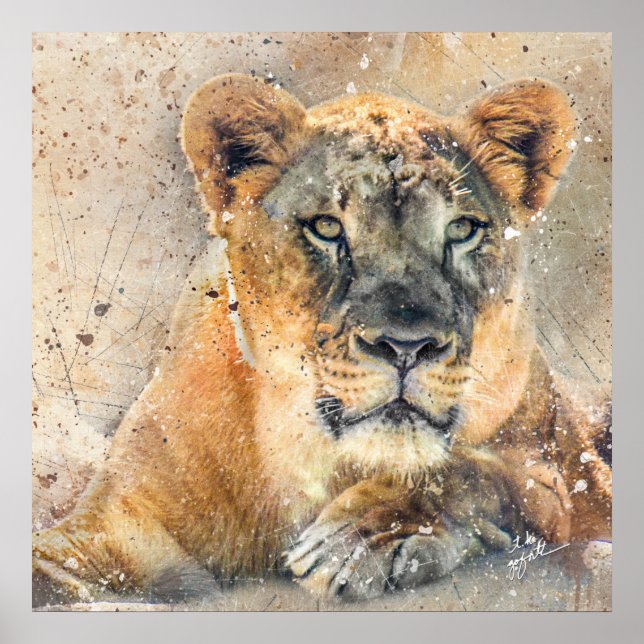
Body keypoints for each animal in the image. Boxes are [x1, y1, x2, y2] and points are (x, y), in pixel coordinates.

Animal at [32, 74, 612, 606]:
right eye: (328, 228)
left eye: (462, 229)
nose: (406, 347)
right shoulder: (117, 525)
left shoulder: (570, 482)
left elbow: (477, 472)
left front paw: (356, 540)